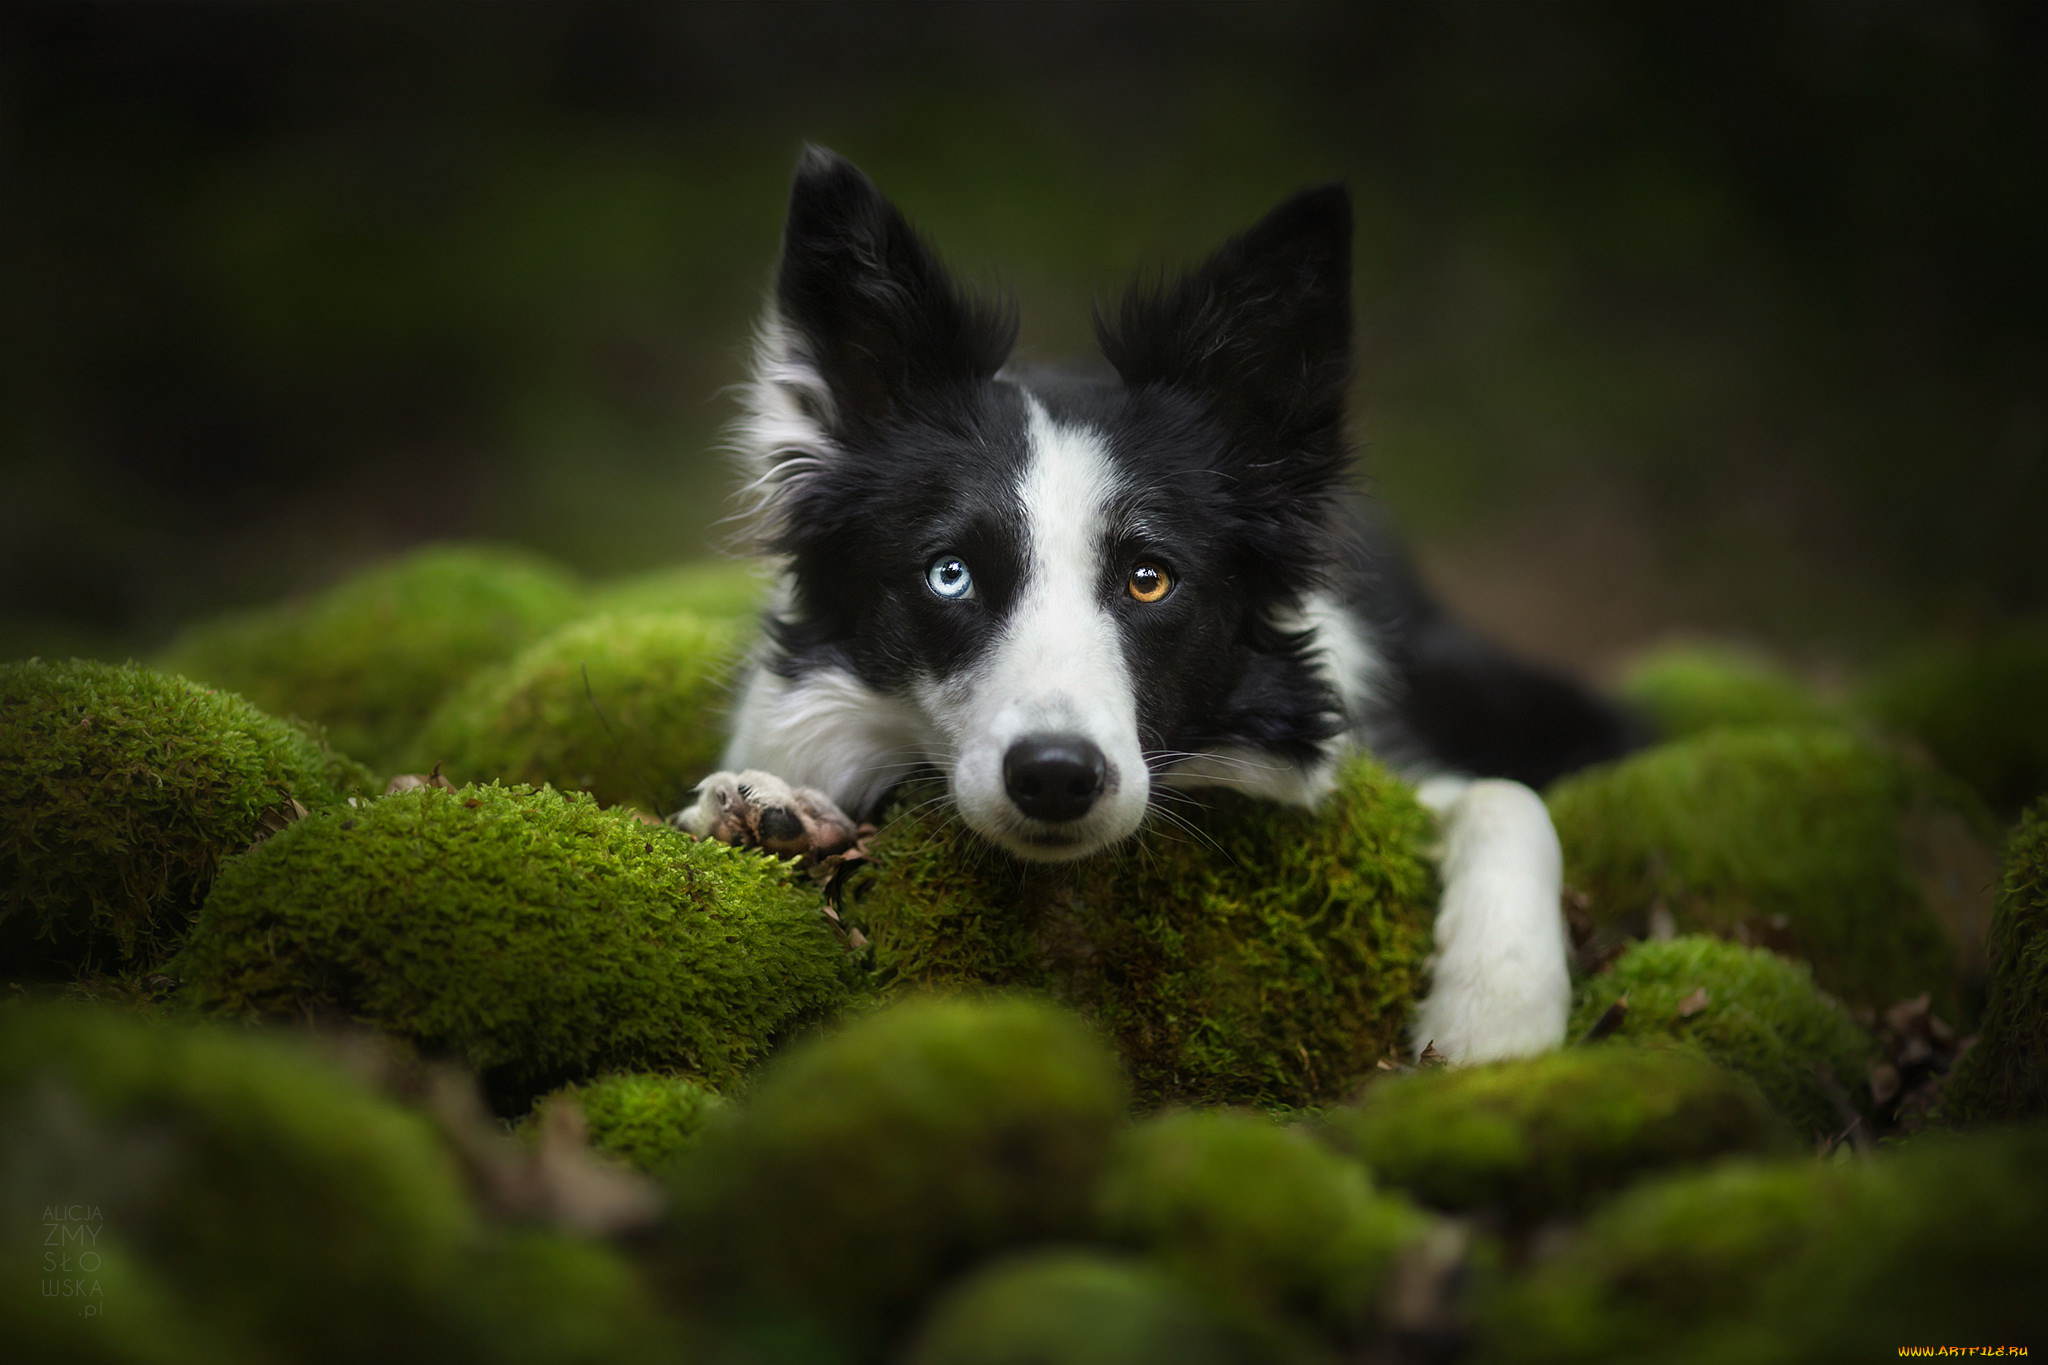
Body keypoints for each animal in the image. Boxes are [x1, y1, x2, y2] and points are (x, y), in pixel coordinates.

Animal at [679, 149, 1638, 1064]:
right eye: (949, 574)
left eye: (1149, 577)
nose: (1055, 777)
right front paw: (767, 810)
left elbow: (1508, 799)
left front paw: (1498, 1014)